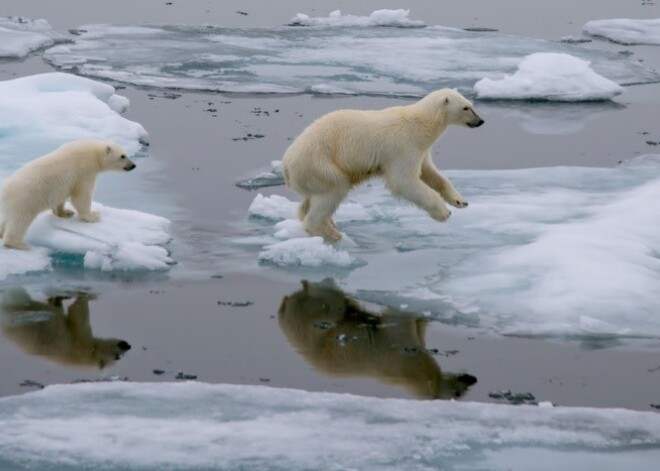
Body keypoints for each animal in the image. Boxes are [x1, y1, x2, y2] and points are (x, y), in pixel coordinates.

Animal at [0, 140, 135, 251]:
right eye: (122, 156)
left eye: (126, 153)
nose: (133, 165)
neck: (93, 152)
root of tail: (4, 192)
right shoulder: (85, 169)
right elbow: (81, 195)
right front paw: (93, 215)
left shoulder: (65, 184)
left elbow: (62, 197)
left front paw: (65, 212)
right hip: (24, 200)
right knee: (20, 221)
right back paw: (19, 244)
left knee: (7, 219)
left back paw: (1, 233)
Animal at [282, 88, 482, 242]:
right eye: (466, 107)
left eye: (471, 104)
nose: (481, 121)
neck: (420, 123)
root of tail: (286, 164)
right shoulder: (403, 146)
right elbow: (403, 181)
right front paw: (444, 213)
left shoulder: (421, 150)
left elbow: (430, 173)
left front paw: (460, 201)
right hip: (321, 164)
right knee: (334, 190)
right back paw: (331, 234)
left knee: (311, 199)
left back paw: (327, 223)